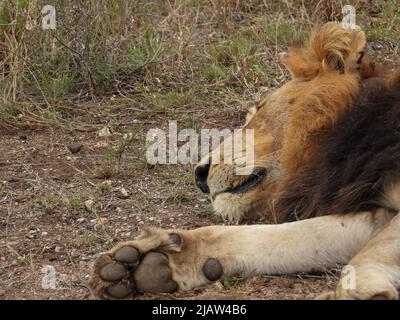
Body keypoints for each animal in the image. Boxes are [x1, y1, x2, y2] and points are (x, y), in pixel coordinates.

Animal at [89, 23, 398, 300]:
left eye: (258, 111)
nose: (199, 175)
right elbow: (290, 235)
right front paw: (156, 260)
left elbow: (367, 252)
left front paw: (360, 292)